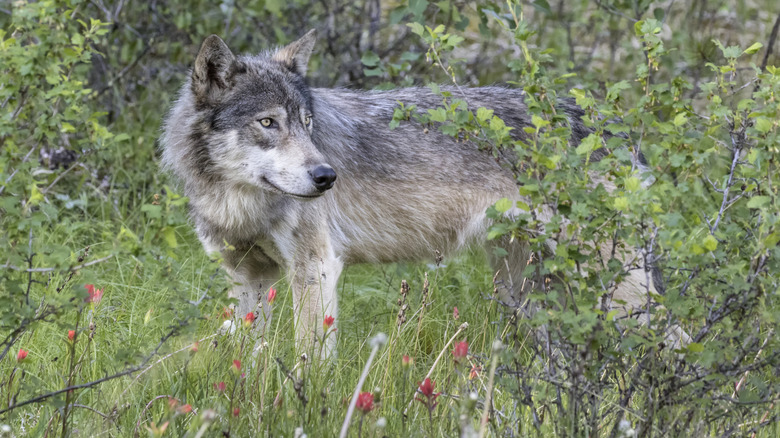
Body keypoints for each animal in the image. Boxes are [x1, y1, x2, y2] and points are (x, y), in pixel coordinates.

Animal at [161, 30, 684, 357]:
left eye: (307, 124)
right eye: (268, 122)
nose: (327, 177)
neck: (237, 200)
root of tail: (613, 126)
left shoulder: (316, 269)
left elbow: (311, 360)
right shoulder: (247, 280)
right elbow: (247, 362)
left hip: (616, 295)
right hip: (529, 295)